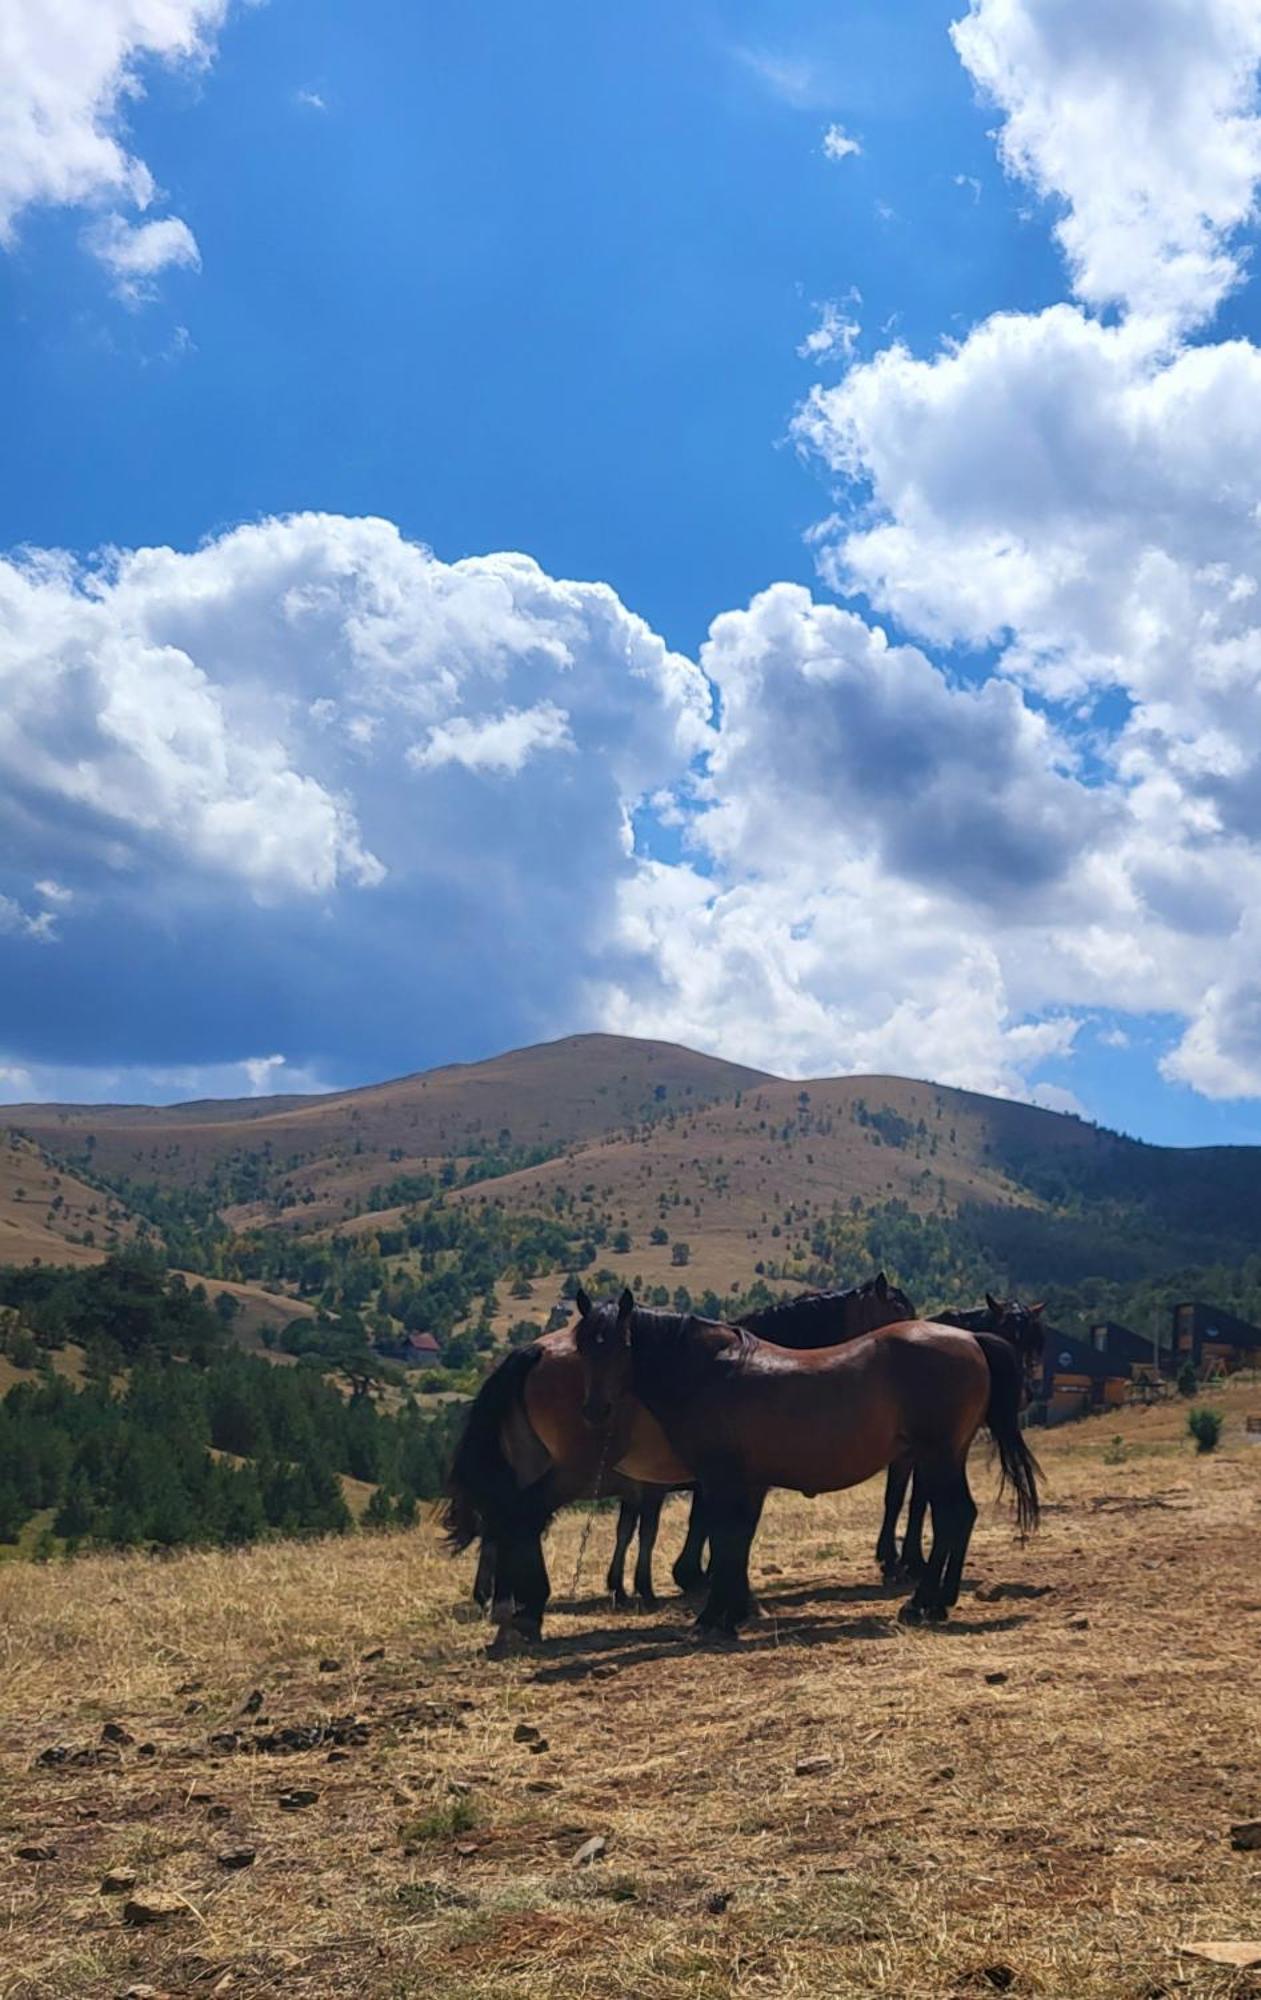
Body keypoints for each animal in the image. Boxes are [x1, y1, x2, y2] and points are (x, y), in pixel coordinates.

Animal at [444, 1272, 908, 1648]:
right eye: (899, 1309)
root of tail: (533, 1353)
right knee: (521, 1517)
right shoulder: (725, 1479)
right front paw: (716, 1592)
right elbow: (719, 1532)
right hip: (571, 1470)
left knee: (511, 1521)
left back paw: (512, 1606)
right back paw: (520, 1606)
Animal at [576, 1288, 1040, 1632]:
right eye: (582, 1346)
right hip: (944, 1458)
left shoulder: (723, 1480)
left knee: (953, 1516)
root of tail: (970, 1340)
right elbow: (734, 1542)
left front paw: (715, 1615)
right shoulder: (742, 1483)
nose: (594, 1409)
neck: (712, 1372)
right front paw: (732, 1610)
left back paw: (923, 1601)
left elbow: (727, 1541)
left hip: (937, 1457)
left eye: (622, 1344)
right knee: (957, 1517)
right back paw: (938, 1600)